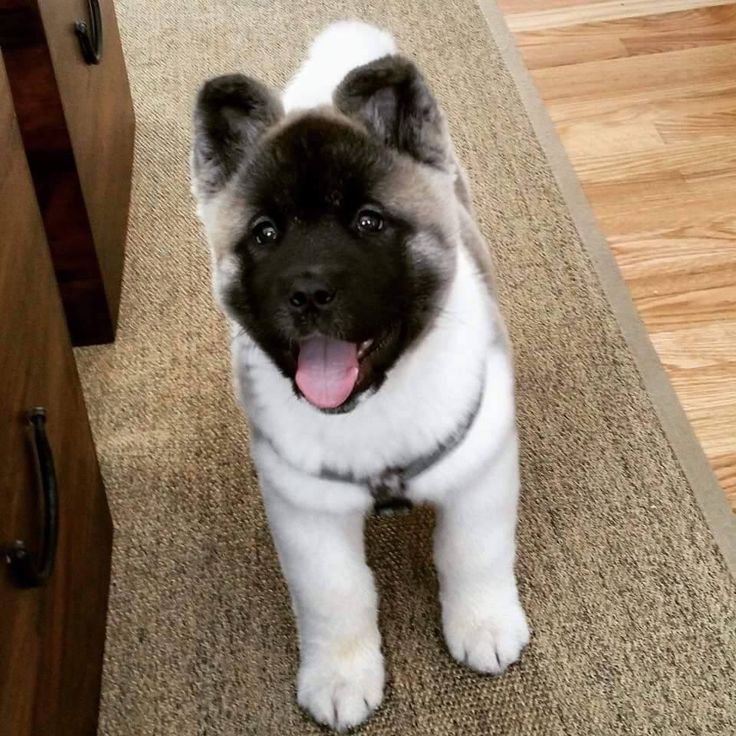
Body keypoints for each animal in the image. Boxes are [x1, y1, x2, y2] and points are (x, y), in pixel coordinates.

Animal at [190, 20, 528, 732]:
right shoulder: (305, 509)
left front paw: (483, 623)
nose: (308, 293)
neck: (374, 408)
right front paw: (341, 674)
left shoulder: (480, 472)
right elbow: (335, 595)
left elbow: (474, 553)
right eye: (266, 233)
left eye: (369, 222)